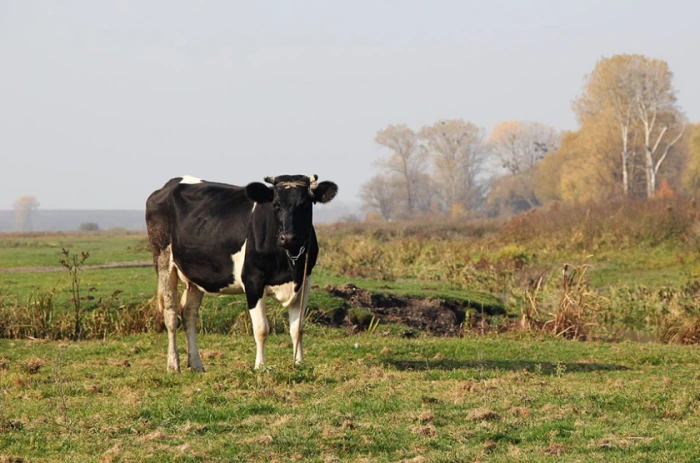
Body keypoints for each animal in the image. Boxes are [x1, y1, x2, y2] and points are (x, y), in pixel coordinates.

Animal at [145, 175, 336, 374]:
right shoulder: (253, 281)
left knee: (189, 313)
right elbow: (261, 329)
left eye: (305, 204)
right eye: (276, 205)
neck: (289, 263)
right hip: (163, 260)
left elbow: (297, 328)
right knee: (171, 313)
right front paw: (260, 366)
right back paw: (173, 364)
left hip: (196, 274)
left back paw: (196, 364)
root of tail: (170, 184)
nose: (288, 238)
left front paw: (299, 364)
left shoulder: (304, 281)